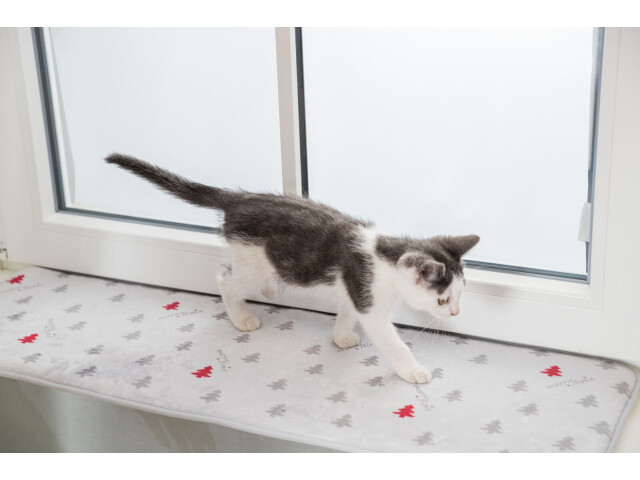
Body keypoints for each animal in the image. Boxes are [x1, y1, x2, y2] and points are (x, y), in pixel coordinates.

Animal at [105, 153, 479, 384]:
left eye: (460, 296)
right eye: (443, 300)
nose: (456, 314)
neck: (385, 256)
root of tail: (240, 199)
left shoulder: (353, 290)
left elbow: (346, 311)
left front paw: (341, 336)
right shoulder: (370, 301)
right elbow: (392, 342)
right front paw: (413, 371)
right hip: (252, 265)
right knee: (225, 280)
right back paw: (241, 317)